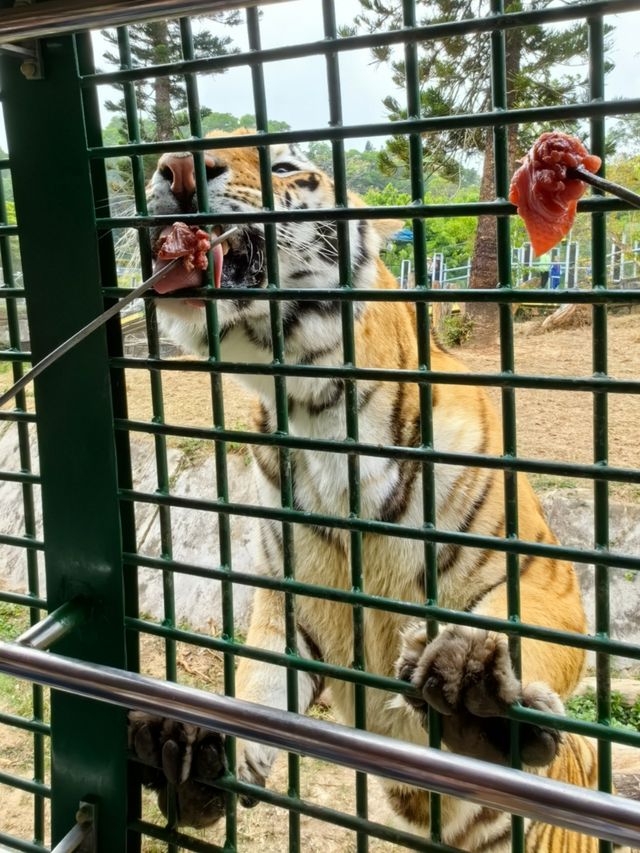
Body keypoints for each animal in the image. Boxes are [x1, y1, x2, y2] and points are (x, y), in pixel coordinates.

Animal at [127, 128, 624, 852]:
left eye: (285, 165)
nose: (175, 167)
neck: (315, 407)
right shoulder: (289, 600)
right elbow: (259, 684)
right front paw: (193, 750)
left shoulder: (546, 578)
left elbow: (528, 630)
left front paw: (476, 682)